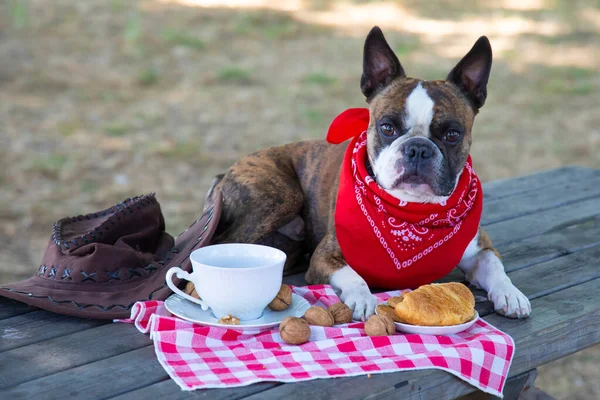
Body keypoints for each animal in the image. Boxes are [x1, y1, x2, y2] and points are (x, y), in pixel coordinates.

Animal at [204, 26, 532, 322]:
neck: (411, 215)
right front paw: (362, 298)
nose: (418, 149)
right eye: (387, 127)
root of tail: (225, 172)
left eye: (452, 134)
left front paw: (510, 293)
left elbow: (495, 266)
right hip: (282, 196)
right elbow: (353, 275)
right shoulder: (326, 257)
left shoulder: (480, 250)